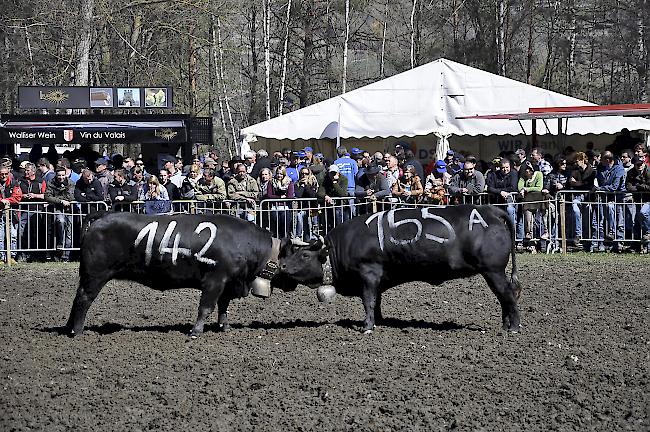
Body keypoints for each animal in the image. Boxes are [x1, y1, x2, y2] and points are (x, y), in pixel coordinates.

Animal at [64, 211, 302, 340]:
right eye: (292, 258)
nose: (294, 286)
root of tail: (102, 217)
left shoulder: (228, 284)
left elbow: (223, 307)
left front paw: (224, 327)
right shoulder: (215, 280)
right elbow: (206, 307)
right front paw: (196, 331)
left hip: (87, 276)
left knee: (76, 299)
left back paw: (70, 329)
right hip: (96, 275)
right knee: (83, 300)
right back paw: (79, 331)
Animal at [278, 204, 520, 332]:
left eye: (304, 255)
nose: (282, 265)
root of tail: (489, 209)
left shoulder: (368, 274)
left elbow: (368, 301)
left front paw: (367, 326)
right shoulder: (378, 279)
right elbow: (376, 302)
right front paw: (379, 321)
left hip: (493, 270)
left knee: (508, 294)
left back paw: (514, 327)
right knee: (504, 297)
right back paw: (505, 324)